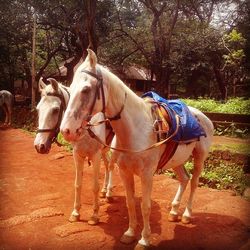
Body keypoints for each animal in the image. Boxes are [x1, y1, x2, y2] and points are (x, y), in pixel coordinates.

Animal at [33, 77, 114, 225]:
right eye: (38, 109)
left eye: (55, 110)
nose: (39, 146)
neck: (85, 128)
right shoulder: (78, 155)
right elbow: (77, 184)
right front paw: (75, 213)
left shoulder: (95, 155)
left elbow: (94, 186)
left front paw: (94, 215)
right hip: (104, 150)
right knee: (107, 164)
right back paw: (105, 190)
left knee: (111, 166)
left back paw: (109, 193)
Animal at [60, 49, 213, 249]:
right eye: (70, 87)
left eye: (85, 89)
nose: (66, 130)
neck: (136, 129)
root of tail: (203, 116)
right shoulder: (125, 172)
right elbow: (131, 203)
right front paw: (130, 233)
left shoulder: (147, 175)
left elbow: (145, 206)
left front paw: (144, 239)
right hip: (177, 160)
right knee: (184, 179)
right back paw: (174, 212)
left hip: (200, 157)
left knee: (194, 182)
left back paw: (186, 215)